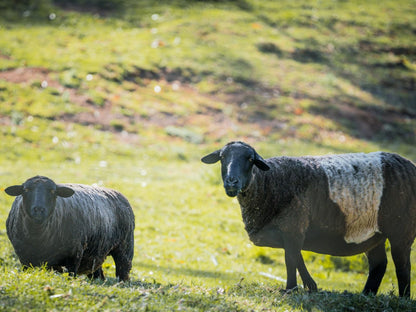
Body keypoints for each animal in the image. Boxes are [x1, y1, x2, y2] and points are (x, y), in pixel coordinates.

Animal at [4, 176, 135, 280]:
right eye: (26, 190)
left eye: (53, 191)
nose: (39, 210)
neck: (38, 234)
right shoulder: (24, 258)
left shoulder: (74, 254)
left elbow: (71, 275)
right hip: (95, 255)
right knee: (98, 274)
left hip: (125, 248)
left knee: (123, 272)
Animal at [202, 141, 416, 298]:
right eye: (222, 158)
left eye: (250, 159)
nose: (231, 182)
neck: (270, 182)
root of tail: (409, 165)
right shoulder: (289, 233)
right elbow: (295, 256)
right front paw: (305, 286)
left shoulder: (294, 227)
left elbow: (291, 258)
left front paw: (294, 288)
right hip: (372, 234)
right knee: (379, 264)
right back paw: (366, 295)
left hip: (402, 229)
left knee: (402, 265)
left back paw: (402, 298)